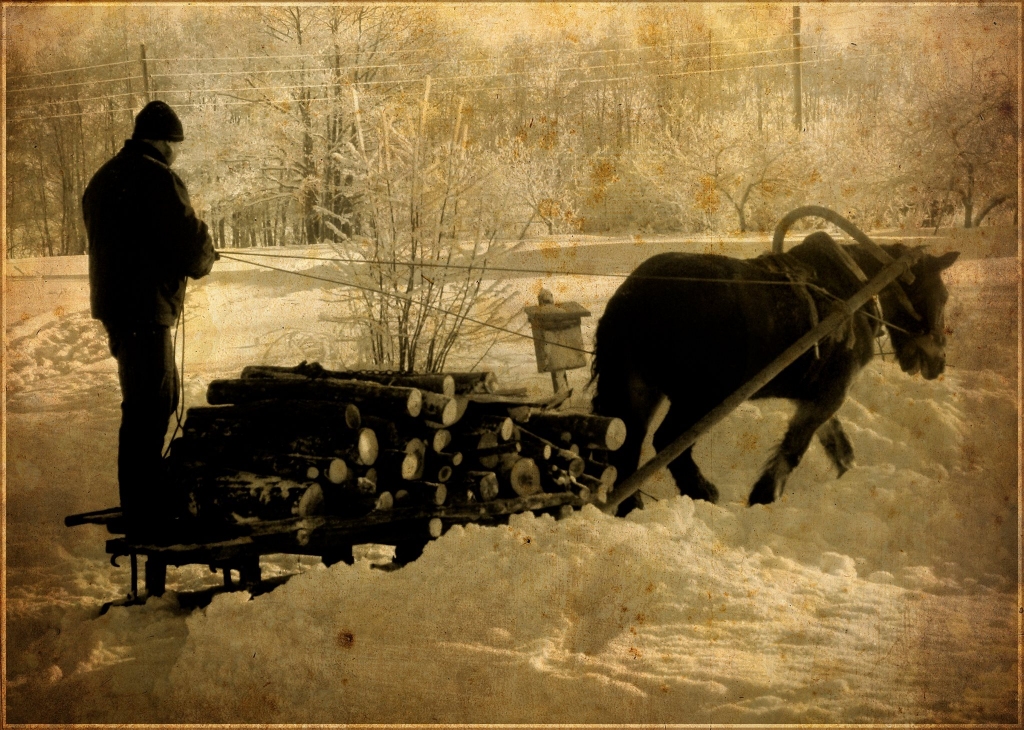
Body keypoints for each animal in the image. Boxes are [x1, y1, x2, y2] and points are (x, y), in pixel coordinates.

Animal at [593, 210, 958, 507]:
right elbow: (793, 451)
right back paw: (703, 493)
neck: (853, 287)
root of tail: (629, 299)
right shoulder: (832, 393)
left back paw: (630, 508)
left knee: (627, 448)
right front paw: (762, 498)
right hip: (700, 397)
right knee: (665, 441)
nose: (939, 361)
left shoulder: (816, 397)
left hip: (639, 388)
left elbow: (838, 446)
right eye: (940, 294)